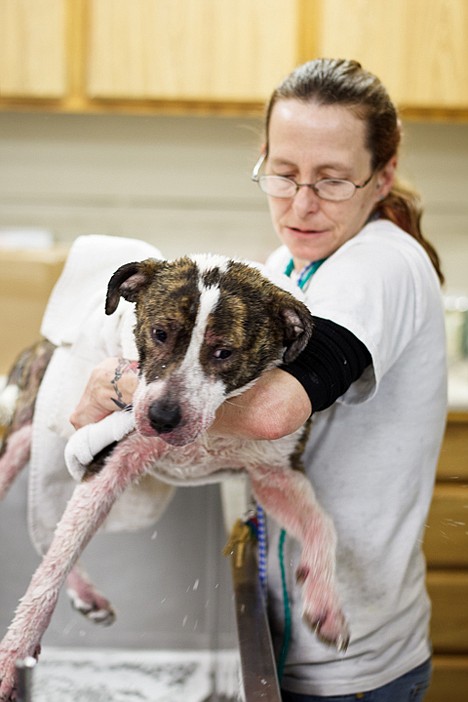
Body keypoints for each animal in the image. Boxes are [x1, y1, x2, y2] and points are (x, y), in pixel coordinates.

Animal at [0, 253, 350, 700]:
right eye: (159, 333)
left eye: (224, 351)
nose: (162, 417)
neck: (216, 425)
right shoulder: (108, 458)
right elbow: (51, 571)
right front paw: (14, 656)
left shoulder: (274, 473)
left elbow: (323, 526)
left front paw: (326, 604)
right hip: (24, 436)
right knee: (48, 530)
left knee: (47, 530)